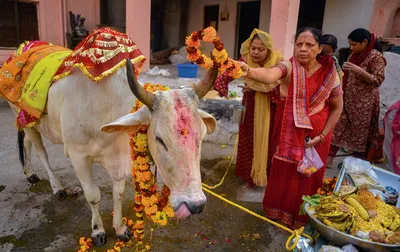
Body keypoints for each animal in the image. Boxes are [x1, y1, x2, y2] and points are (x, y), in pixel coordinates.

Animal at [8, 59, 216, 246]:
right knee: (41, 152)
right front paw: (98, 231)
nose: (195, 205)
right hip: (24, 117)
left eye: (202, 136)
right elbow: (93, 196)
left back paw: (30, 173)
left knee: (26, 143)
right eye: (159, 138)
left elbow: (119, 193)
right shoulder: (78, 155)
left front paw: (120, 228)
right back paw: (57, 187)